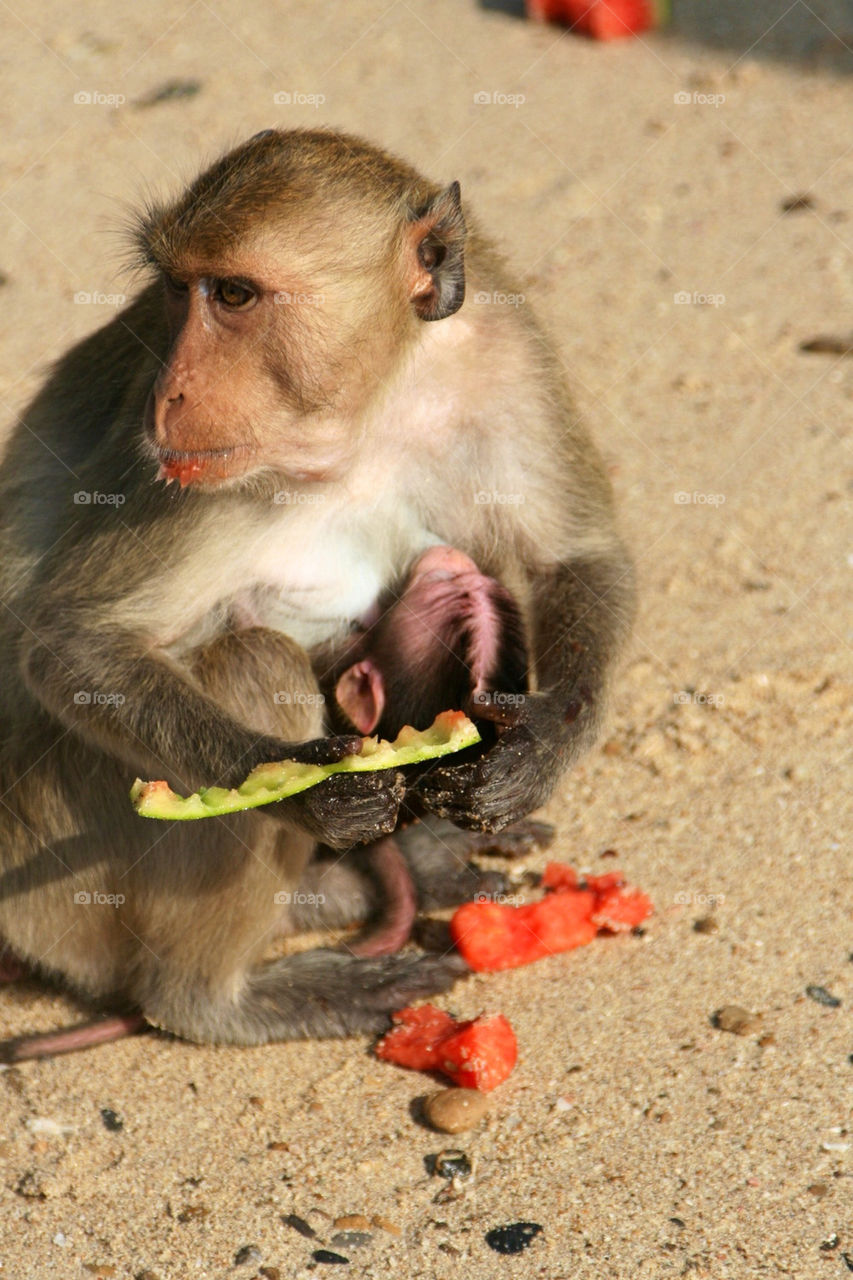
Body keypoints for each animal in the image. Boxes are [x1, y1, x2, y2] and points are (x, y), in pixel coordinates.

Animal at [0, 127, 635, 1055]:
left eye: (233, 294)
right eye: (175, 288)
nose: (168, 391)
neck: (366, 411)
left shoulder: (503, 350)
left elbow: (578, 558)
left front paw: (541, 743)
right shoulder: (189, 473)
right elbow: (71, 642)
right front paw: (316, 793)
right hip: (50, 866)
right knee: (254, 664)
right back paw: (217, 999)